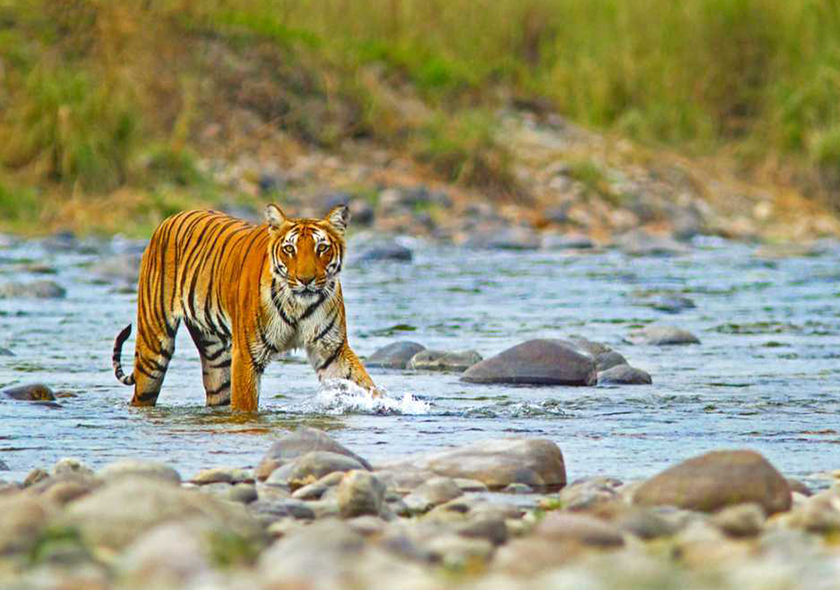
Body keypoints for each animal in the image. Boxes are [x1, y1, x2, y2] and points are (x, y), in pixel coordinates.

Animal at [111, 206, 378, 414]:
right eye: (289, 249)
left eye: (321, 248)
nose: (305, 280)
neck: (298, 304)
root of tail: (169, 218)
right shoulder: (247, 355)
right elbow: (245, 405)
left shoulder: (332, 349)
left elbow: (363, 383)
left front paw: (383, 405)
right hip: (154, 347)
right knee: (142, 393)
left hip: (216, 357)